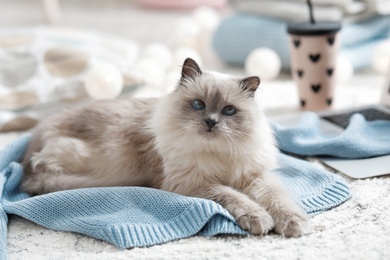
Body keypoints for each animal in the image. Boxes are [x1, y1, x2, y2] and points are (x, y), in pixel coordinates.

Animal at [21, 58, 310, 237]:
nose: (211, 122)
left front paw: (294, 224)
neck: (217, 154)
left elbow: (279, 200)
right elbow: (234, 197)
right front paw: (259, 219)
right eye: (199, 105)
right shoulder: (195, 184)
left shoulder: (255, 177)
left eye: (229, 110)